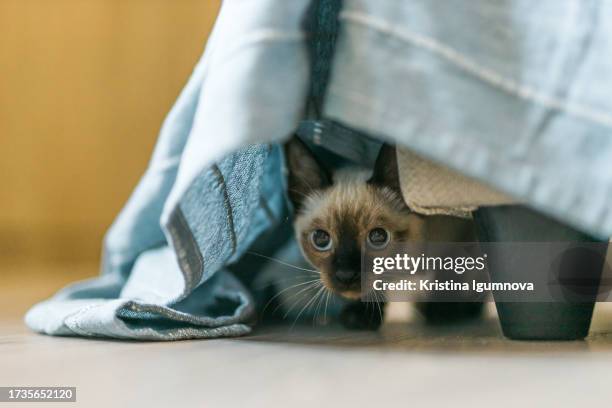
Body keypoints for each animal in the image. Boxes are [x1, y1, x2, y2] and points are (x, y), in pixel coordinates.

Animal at [284, 135, 482, 330]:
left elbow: (446, 273)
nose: (346, 275)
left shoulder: (451, 240)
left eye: (378, 237)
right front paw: (362, 315)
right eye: (321, 239)